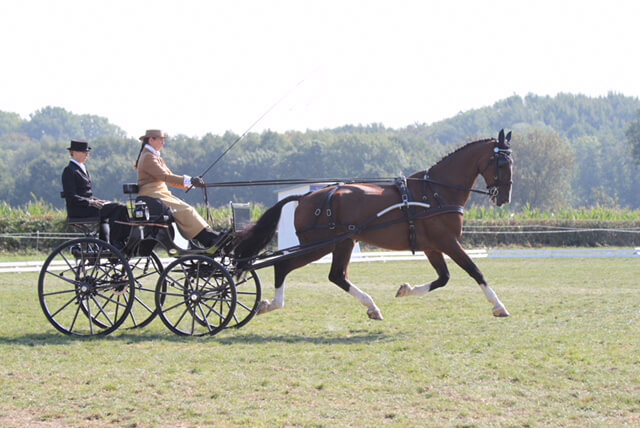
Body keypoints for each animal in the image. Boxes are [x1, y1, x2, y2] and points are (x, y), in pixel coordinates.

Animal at [232, 129, 514, 320]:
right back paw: (272, 304)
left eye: (512, 162)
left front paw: (405, 290)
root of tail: (305, 197)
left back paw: (371, 307)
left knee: (336, 276)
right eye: (502, 162)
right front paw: (499, 306)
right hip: (320, 246)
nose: (504, 198)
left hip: (343, 243)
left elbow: (443, 278)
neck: (435, 193)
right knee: (283, 266)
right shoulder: (448, 242)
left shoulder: (433, 247)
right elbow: (475, 271)